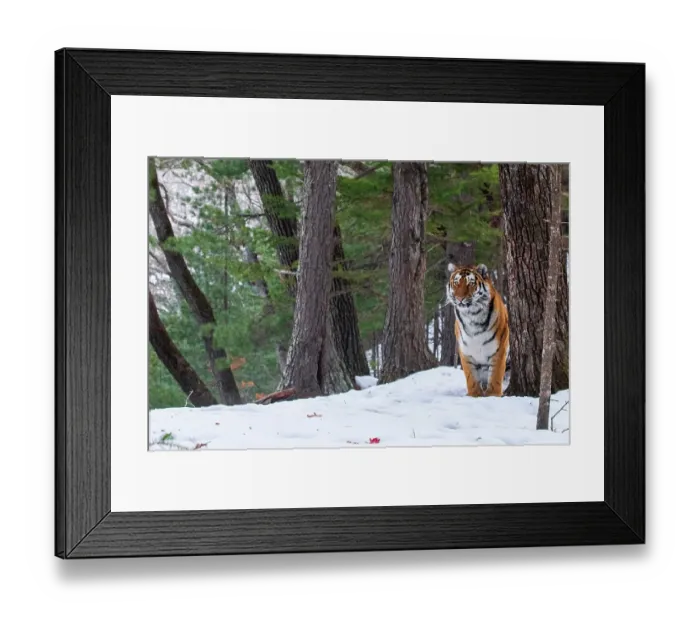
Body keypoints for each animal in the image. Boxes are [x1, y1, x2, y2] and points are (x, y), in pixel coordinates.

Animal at [446, 263, 510, 397]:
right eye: (456, 283)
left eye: (471, 283)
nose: (459, 298)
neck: (472, 316)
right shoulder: (466, 351)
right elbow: (471, 377)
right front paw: (474, 395)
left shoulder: (499, 349)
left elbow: (496, 376)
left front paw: (493, 395)